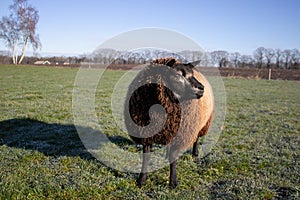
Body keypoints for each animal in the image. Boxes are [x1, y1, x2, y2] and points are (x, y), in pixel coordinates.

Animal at [123, 57, 213, 188]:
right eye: (177, 75)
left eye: (192, 74)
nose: (201, 88)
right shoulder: (146, 134)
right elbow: (146, 157)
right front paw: (141, 180)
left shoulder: (178, 134)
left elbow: (173, 158)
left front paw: (173, 182)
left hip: (200, 124)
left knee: (196, 138)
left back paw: (195, 154)